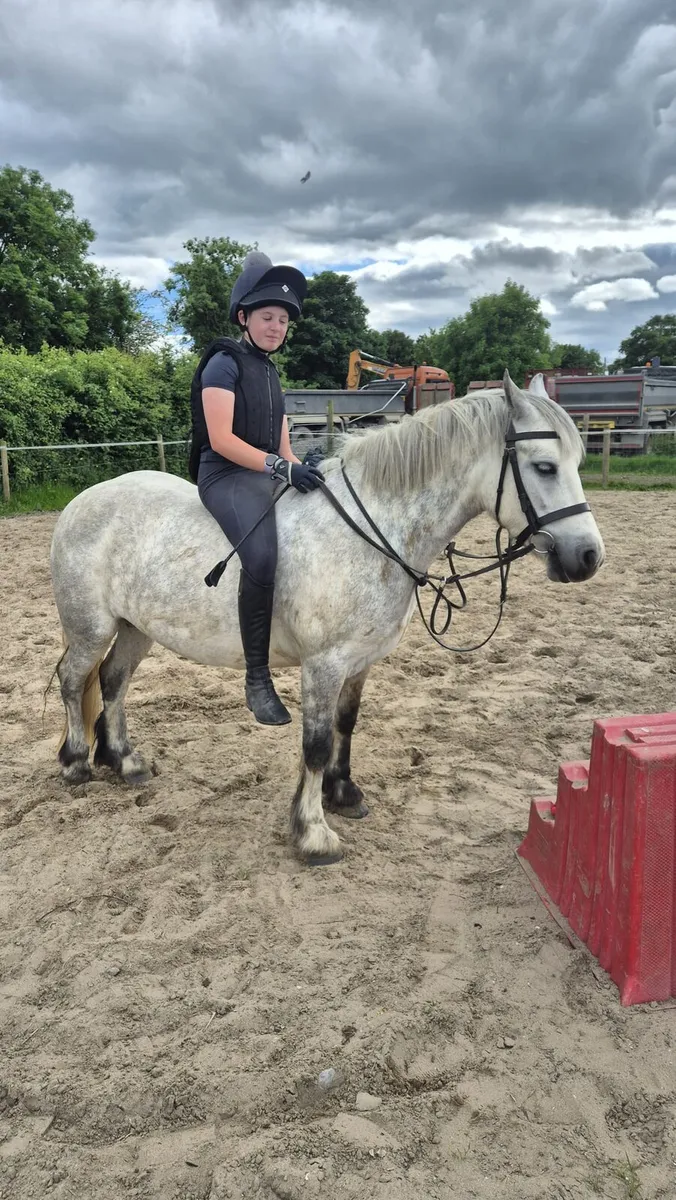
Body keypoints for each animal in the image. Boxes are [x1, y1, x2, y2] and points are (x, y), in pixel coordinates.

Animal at [50, 371, 605, 866]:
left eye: (577, 461)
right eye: (545, 467)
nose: (588, 557)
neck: (373, 529)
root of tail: (82, 501)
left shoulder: (358, 662)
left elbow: (345, 724)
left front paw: (344, 793)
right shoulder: (324, 664)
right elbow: (315, 744)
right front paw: (314, 833)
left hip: (135, 629)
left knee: (113, 681)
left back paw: (124, 760)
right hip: (91, 628)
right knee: (74, 680)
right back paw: (76, 762)